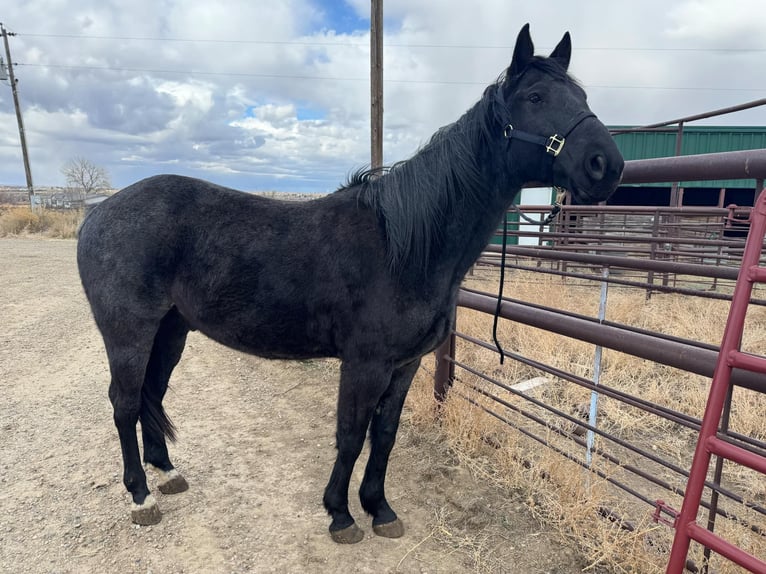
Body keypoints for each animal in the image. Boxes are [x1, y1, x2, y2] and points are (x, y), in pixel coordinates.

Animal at [77, 24, 624, 544]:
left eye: (583, 97)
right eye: (535, 97)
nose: (607, 164)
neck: (405, 245)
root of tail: (98, 212)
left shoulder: (404, 365)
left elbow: (384, 435)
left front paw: (379, 508)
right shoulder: (365, 364)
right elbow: (350, 434)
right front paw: (340, 515)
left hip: (170, 330)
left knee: (152, 392)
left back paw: (167, 473)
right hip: (128, 333)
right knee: (125, 402)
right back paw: (142, 497)